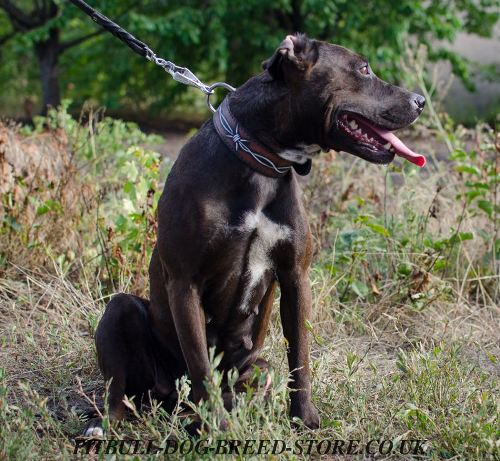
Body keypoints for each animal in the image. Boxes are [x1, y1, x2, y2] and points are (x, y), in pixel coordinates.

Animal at [84, 34, 424, 436]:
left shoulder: (295, 277)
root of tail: (166, 400)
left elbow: (300, 356)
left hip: (258, 370)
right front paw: (216, 427)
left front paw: (303, 418)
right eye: (364, 69)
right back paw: (109, 424)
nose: (420, 100)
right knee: (120, 388)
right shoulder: (184, 283)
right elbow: (201, 366)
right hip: (120, 314)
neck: (260, 161)